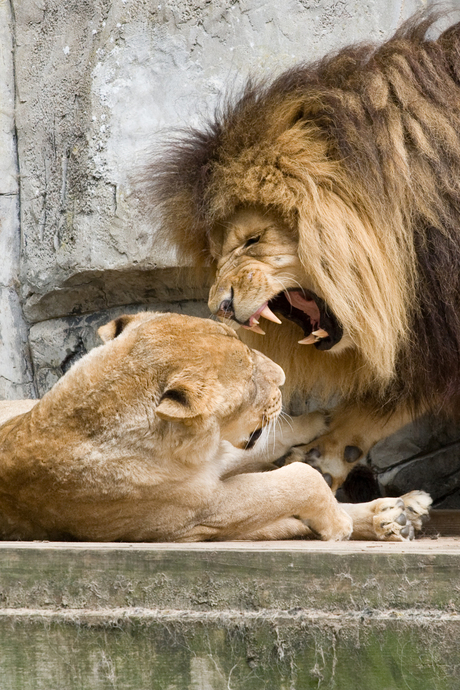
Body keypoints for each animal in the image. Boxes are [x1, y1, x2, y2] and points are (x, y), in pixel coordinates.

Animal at [0, 312, 430, 544]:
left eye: (248, 346)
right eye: (252, 376)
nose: (282, 376)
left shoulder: (219, 462)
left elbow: (273, 452)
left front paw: (321, 421)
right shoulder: (205, 509)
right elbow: (297, 481)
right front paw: (340, 523)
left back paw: (401, 511)